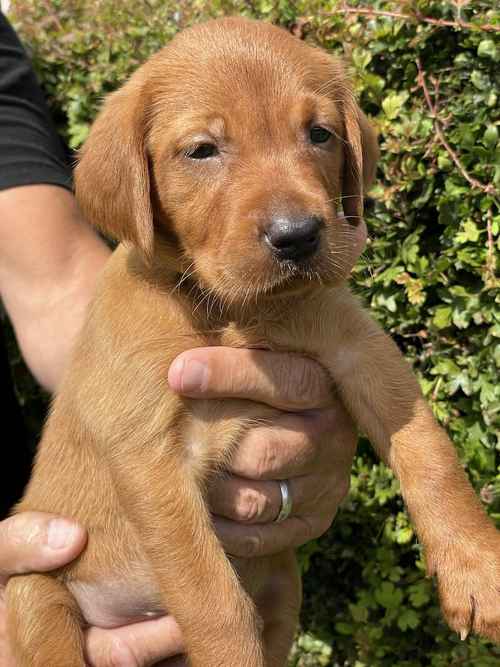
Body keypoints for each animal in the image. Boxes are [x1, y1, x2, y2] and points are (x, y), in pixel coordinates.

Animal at [4, 15, 500, 667]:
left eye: (319, 134)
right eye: (202, 150)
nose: (298, 235)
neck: (235, 313)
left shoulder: (360, 349)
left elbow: (430, 449)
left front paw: (476, 568)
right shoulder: (148, 455)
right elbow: (212, 598)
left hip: (284, 585)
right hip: (36, 595)